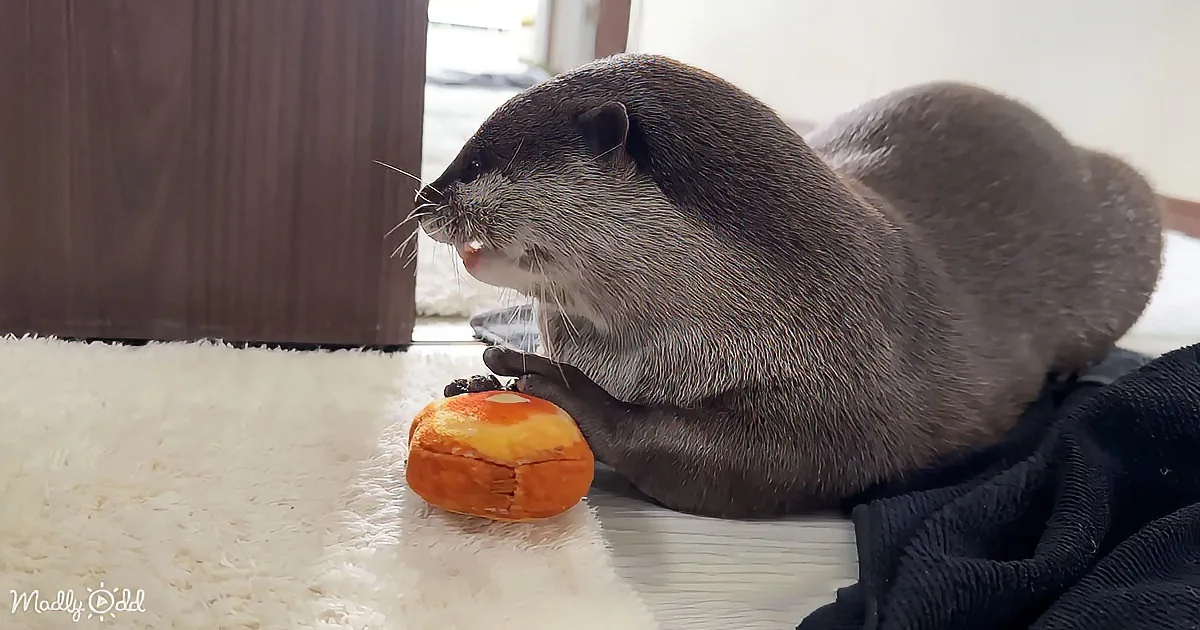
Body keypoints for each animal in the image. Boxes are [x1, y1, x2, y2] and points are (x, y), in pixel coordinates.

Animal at [414, 53, 1163, 519]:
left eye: (476, 161)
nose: (424, 195)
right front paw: (477, 382)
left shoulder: (854, 379)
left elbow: (765, 464)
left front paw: (564, 390)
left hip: (1128, 216)